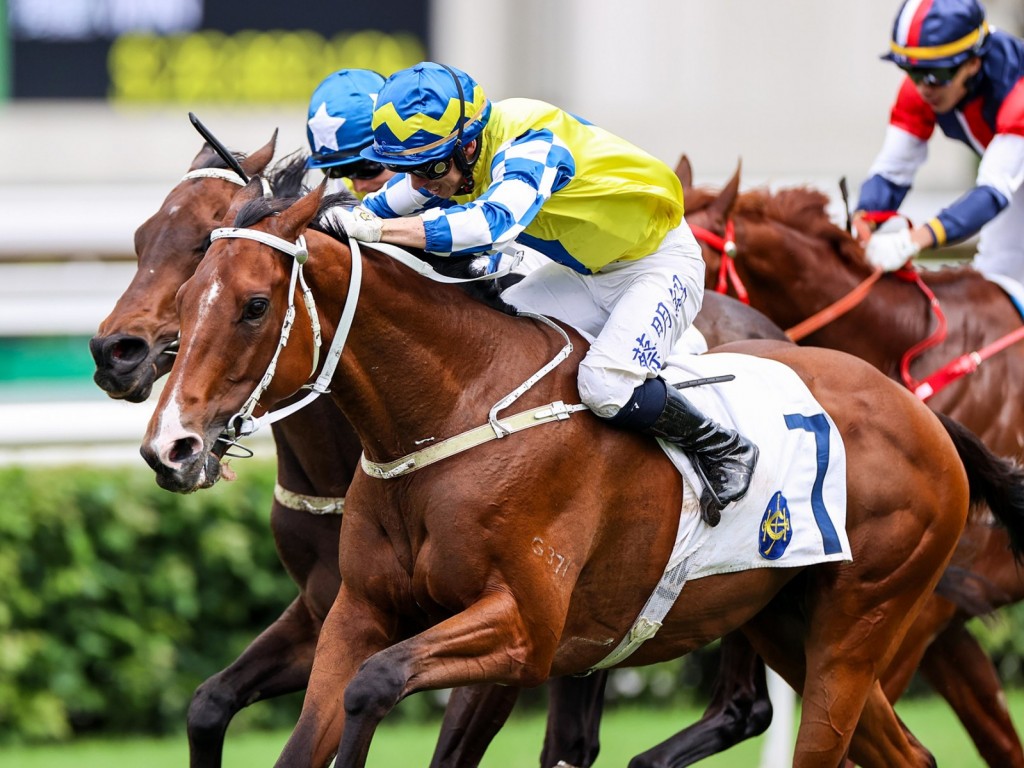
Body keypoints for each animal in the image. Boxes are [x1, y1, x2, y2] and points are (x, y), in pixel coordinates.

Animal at [138, 177, 1024, 765]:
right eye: (185, 297)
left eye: (254, 306)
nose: (169, 447)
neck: (453, 411)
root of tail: (918, 409)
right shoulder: (354, 610)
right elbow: (307, 720)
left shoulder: (524, 631)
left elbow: (377, 684)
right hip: (786, 621)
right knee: (908, 754)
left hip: (864, 618)